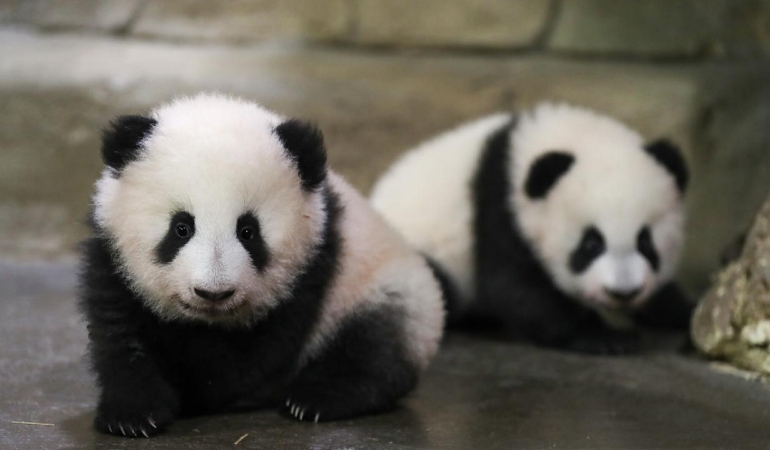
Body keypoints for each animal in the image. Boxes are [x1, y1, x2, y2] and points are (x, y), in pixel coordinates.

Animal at [79, 93, 444, 438]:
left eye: (248, 231)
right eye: (181, 228)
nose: (213, 293)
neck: (207, 322)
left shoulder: (312, 267)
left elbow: (250, 357)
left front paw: (197, 391)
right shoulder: (112, 260)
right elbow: (120, 334)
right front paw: (132, 416)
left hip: (381, 287)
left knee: (374, 346)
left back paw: (316, 398)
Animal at [370, 103, 692, 355]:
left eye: (646, 243)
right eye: (591, 245)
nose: (623, 292)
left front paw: (680, 312)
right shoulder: (500, 207)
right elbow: (516, 288)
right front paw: (606, 337)